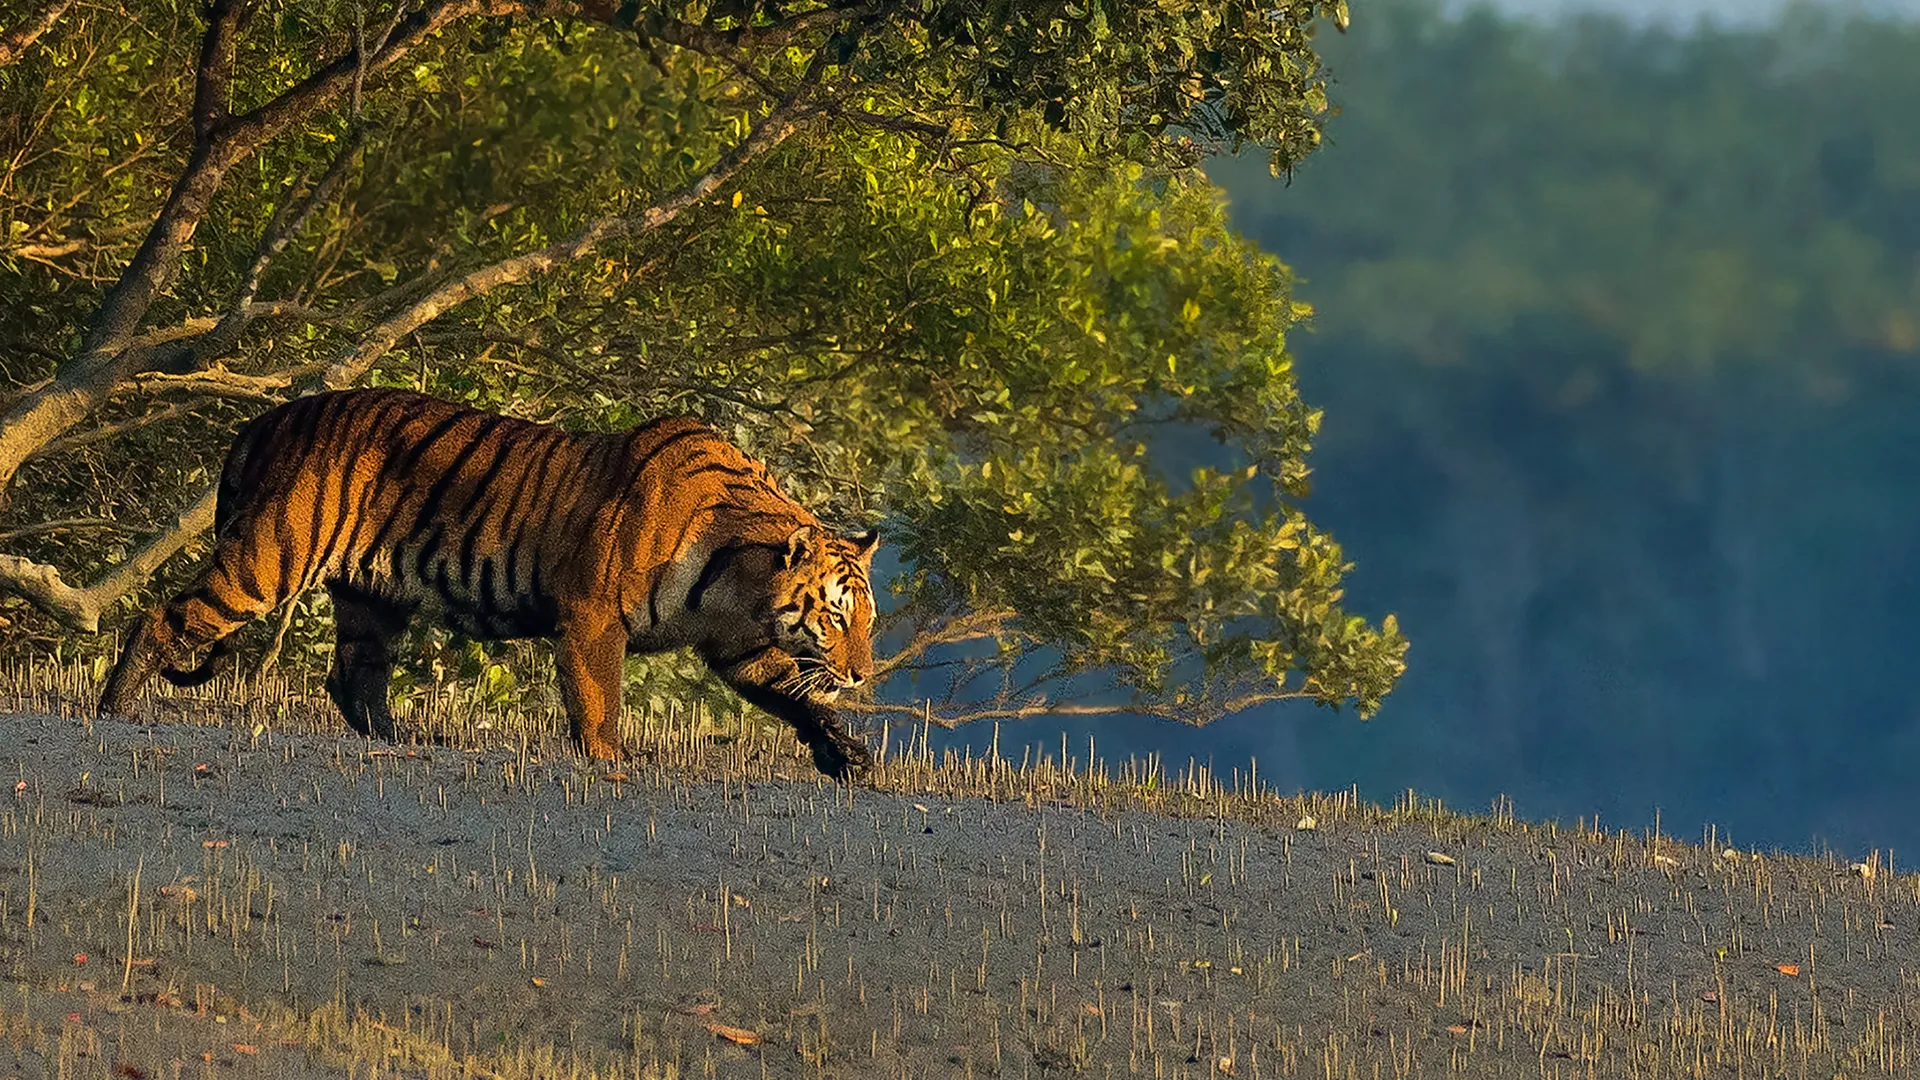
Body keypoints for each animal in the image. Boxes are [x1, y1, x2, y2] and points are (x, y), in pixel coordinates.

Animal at [101, 386, 879, 772]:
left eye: (868, 621)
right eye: (836, 617)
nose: (862, 673)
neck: (740, 583)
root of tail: (264, 419)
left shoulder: (738, 644)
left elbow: (794, 695)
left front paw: (847, 754)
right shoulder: (594, 616)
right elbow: (600, 700)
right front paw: (610, 760)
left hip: (371, 597)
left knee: (353, 677)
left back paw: (404, 740)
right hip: (271, 556)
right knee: (162, 619)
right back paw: (114, 710)